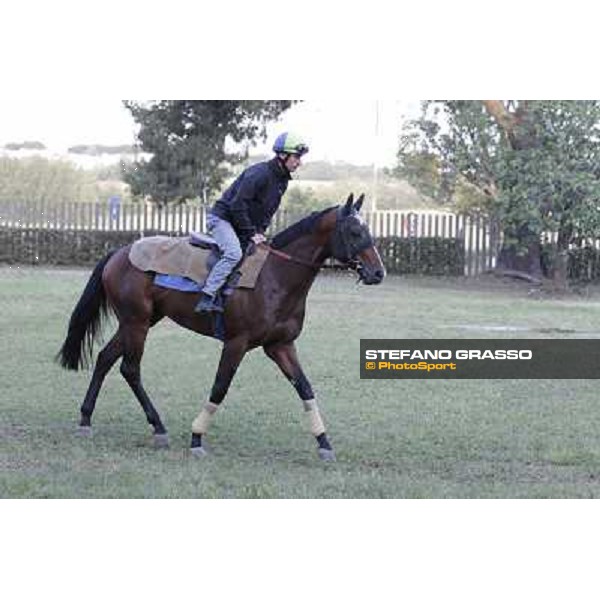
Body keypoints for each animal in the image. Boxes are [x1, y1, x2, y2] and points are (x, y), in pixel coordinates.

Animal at [56, 192, 384, 460]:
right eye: (355, 232)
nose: (378, 272)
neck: (274, 276)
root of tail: (120, 252)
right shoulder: (236, 343)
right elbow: (219, 387)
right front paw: (197, 438)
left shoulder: (280, 345)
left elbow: (304, 388)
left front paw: (324, 443)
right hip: (136, 323)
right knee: (130, 368)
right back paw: (158, 427)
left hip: (139, 321)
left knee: (105, 358)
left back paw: (86, 420)